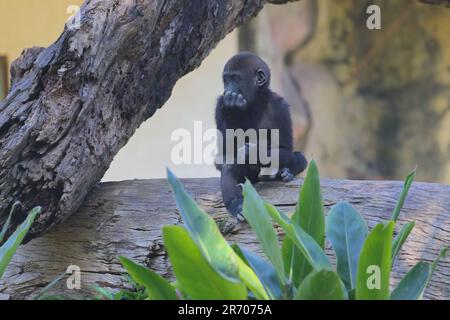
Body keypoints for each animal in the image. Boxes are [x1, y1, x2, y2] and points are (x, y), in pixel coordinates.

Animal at [214, 52, 306, 220]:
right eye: (226, 80)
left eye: (235, 78)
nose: (227, 90)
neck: (255, 101)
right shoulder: (220, 104)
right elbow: (225, 154)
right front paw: (232, 109)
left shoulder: (280, 106)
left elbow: (285, 148)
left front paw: (251, 152)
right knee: (229, 164)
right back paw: (236, 203)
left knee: (299, 157)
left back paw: (286, 172)